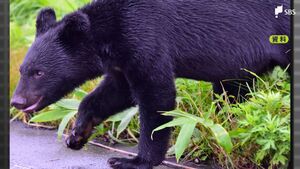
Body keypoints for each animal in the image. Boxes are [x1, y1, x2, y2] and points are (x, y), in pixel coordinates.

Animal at [11, 0, 290, 169]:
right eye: (22, 70)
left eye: (39, 72)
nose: (17, 101)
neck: (112, 33)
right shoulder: (122, 61)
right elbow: (113, 93)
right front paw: (77, 135)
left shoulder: (145, 38)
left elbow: (156, 95)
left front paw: (135, 160)